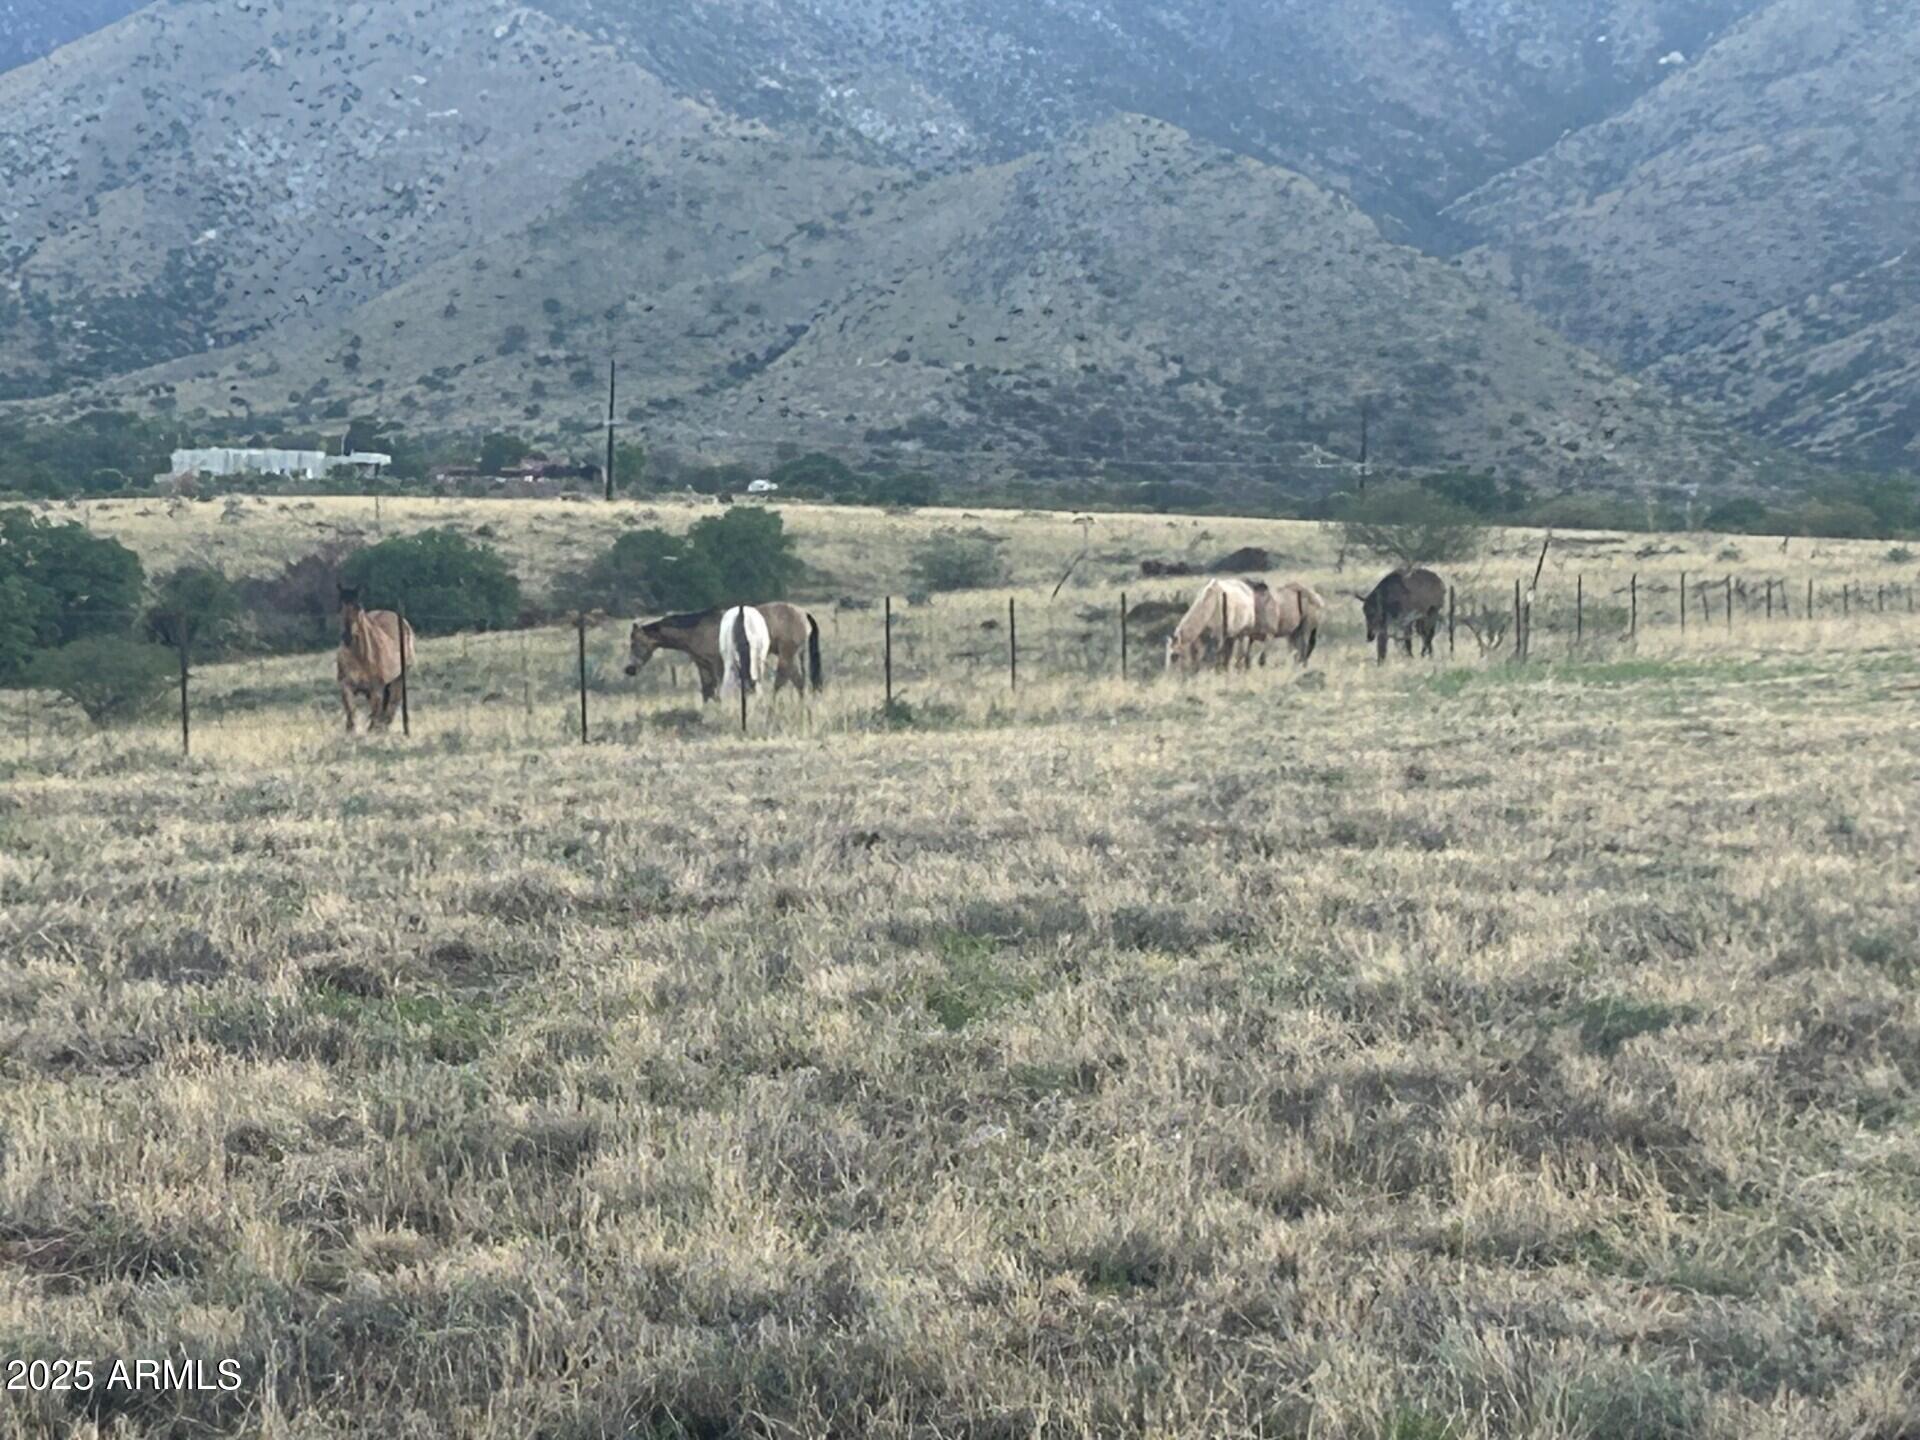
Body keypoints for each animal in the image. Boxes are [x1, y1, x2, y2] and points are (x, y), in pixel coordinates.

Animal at [336, 586, 416, 733]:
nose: (347, 637)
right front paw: (351, 731)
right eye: (339, 607)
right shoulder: (346, 686)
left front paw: (374, 730)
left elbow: (375, 714)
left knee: (393, 703)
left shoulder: (376, 689)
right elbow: (350, 711)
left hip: (400, 677)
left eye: (358, 608)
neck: (360, 658)